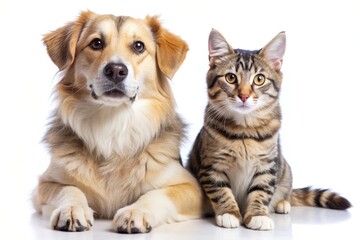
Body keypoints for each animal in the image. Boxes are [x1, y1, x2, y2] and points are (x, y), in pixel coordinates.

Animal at [32, 10, 204, 232]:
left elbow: (156, 194)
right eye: (96, 43)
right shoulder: (45, 184)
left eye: (138, 46)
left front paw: (136, 212)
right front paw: (71, 209)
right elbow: (69, 189)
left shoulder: (191, 187)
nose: (116, 70)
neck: (113, 122)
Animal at [187, 29, 350, 231]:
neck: (245, 130)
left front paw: (258, 215)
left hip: (285, 170)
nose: (244, 96)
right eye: (231, 77)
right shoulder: (212, 166)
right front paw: (229, 213)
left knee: (286, 192)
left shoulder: (267, 166)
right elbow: (221, 191)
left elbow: (261, 192)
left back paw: (282, 203)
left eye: (259, 79)